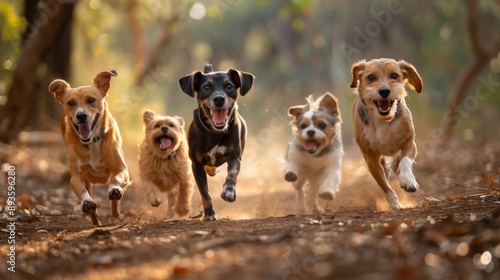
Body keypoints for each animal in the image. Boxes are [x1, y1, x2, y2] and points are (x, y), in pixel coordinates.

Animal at [178, 65, 254, 221]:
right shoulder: (196, 164)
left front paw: (229, 191)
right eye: (206, 87)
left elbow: (232, 173)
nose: (219, 99)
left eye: (229, 86)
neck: (214, 132)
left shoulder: (234, 156)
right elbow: (204, 192)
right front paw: (209, 214)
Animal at [350, 58, 424, 209]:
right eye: (371, 77)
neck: (383, 119)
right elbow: (384, 185)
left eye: (394, 75)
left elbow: (405, 160)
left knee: (397, 162)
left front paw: (408, 180)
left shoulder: (410, 142)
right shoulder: (371, 158)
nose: (384, 91)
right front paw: (395, 204)